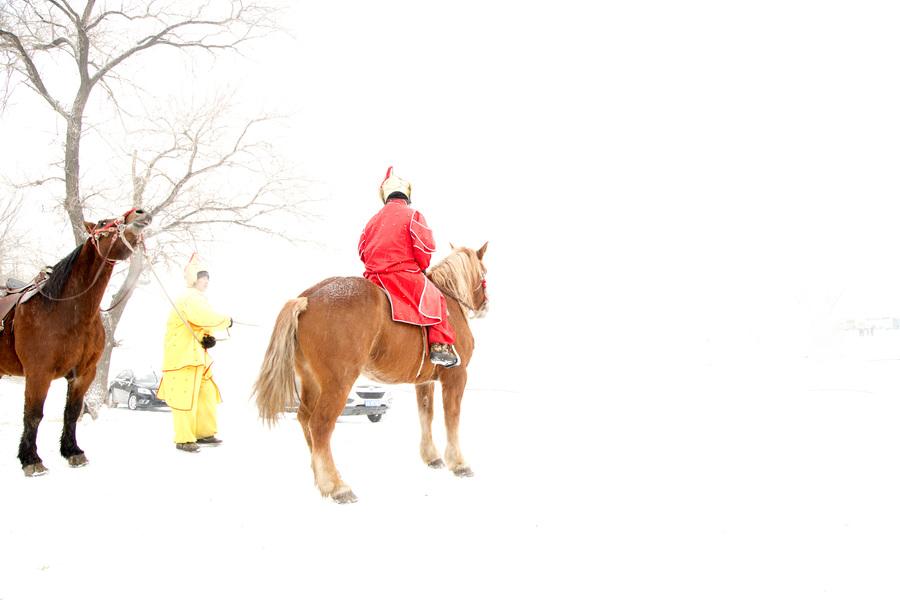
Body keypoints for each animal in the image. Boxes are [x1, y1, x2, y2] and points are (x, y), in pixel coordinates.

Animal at [0, 209, 151, 476]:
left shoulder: (84, 374)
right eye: (103, 223)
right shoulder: (39, 374)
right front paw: (31, 459)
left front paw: (72, 451)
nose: (140, 213)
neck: (67, 309)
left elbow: (71, 412)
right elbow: (33, 415)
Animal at [253, 243, 492, 502]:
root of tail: (307, 299)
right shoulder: (456, 376)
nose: (485, 305)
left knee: (305, 420)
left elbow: (425, 415)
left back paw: (322, 479)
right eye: (484, 272)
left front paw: (432, 457)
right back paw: (336, 486)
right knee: (320, 425)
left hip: (311, 381)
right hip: (339, 382)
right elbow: (452, 417)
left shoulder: (424, 382)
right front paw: (459, 463)